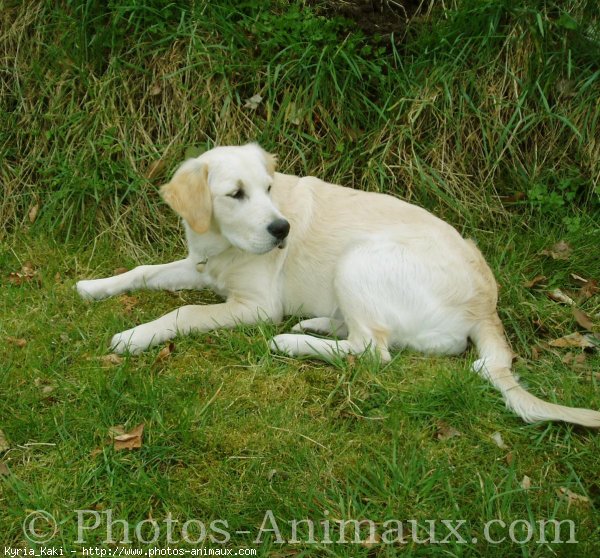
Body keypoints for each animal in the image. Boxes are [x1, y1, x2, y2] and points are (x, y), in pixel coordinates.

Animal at [76, 144, 600, 428]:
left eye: (268, 189)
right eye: (236, 194)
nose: (282, 230)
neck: (222, 243)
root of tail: (488, 304)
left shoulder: (256, 305)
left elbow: (184, 311)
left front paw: (135, 336)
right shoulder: (198, 265)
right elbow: (143, 271)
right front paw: (95, 285)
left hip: (359, 259)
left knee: (374, 351)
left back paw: (291, 341)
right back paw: (318, 323)